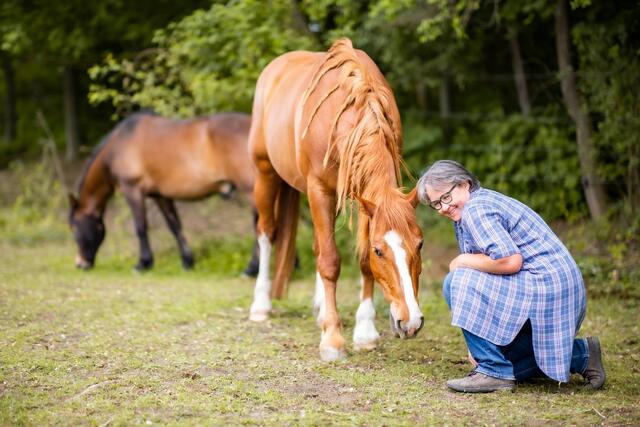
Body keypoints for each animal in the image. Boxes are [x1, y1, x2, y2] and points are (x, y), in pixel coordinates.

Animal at [68, 111, 260, 274]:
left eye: (74, 229)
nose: (80, 264)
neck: (119, 145)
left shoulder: (133, 191)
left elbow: (141, 227)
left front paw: (143, 263)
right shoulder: (161, 195)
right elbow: (174, 225)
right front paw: (187, 262)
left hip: (251, 191)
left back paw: (251, 269)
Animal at [248, 38, 424, 361]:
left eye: (419, 244)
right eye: (381, 251)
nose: (411, 322)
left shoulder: (364, 200)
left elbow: (356, 261)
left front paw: (365, 331)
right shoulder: (320, 191)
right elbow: (330, 261)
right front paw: (332, 339)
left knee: (317, 244)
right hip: (265, 175)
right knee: (266, 234)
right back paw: (261, 306)